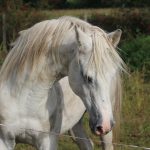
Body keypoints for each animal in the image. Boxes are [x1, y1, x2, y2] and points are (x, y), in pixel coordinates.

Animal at [0, 15, 125, 149]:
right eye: (88, 77)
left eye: (112, 74)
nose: (105, 124)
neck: (25, 101)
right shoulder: (5, 141)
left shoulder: (47, 141)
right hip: (76, 124)